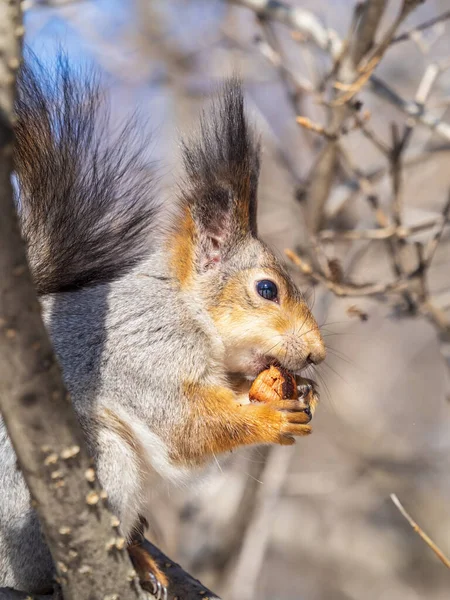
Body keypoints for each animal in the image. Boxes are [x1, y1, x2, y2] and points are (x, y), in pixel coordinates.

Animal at [0, 54, 326, 596]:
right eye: (267, 289)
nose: (318, 354)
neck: (187, 308)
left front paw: (302, 388)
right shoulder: (144, 350)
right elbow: (183, 422)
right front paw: (270, 419)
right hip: (93, 464)